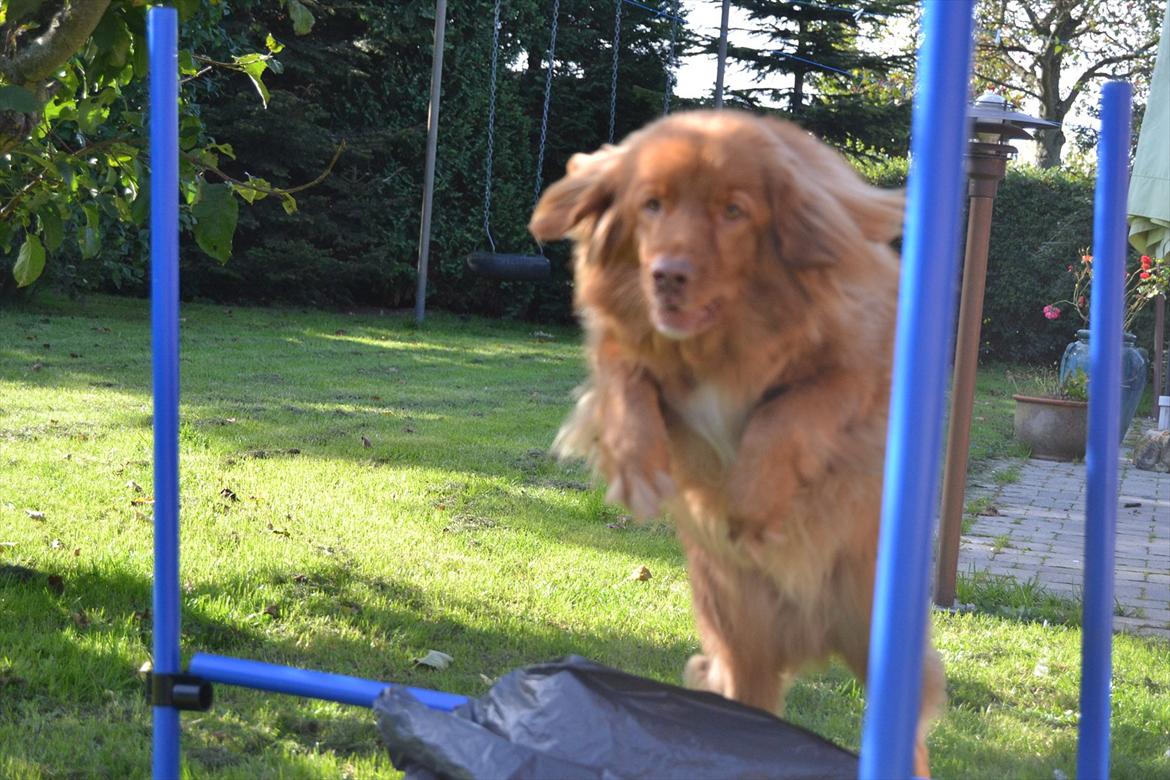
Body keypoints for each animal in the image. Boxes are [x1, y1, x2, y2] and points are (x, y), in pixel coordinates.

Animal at [535, 109, 945, 776]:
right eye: (652, 205)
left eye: (734, 211)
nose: (667, 276)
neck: (726, 342)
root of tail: (811, 636)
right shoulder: (627, 346)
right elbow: (624, 375)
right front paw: (635, 464)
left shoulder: (867, 365)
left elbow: (790, 410)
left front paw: (753, 501)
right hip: (740, 636)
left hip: (881, 645)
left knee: (906, 737)